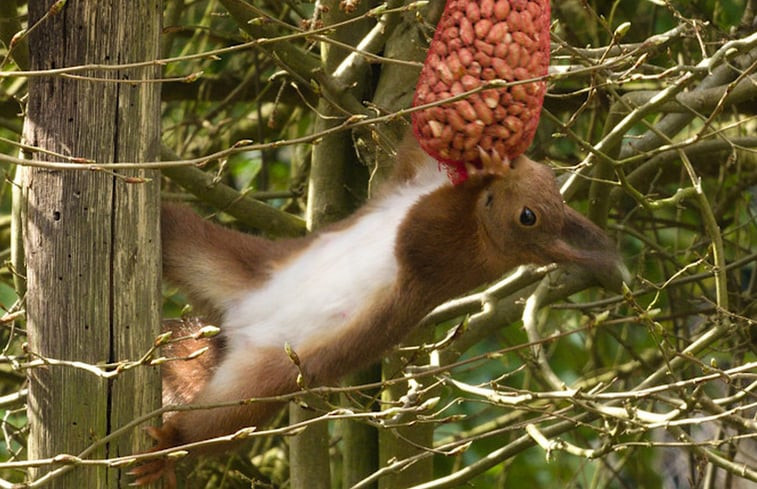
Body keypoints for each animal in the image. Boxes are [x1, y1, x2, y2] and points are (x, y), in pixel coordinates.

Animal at [131, 141, 628, 484]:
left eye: (530, 217)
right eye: (539, 167)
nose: (511, 164)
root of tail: (237, 327)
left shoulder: (449, 260)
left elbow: (420, 233)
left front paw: (478, 173)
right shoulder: (413, 176)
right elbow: (415, 147)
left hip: (259, 386)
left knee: (211, 427)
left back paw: (167, 448)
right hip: (227, 259)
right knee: (173, 230)